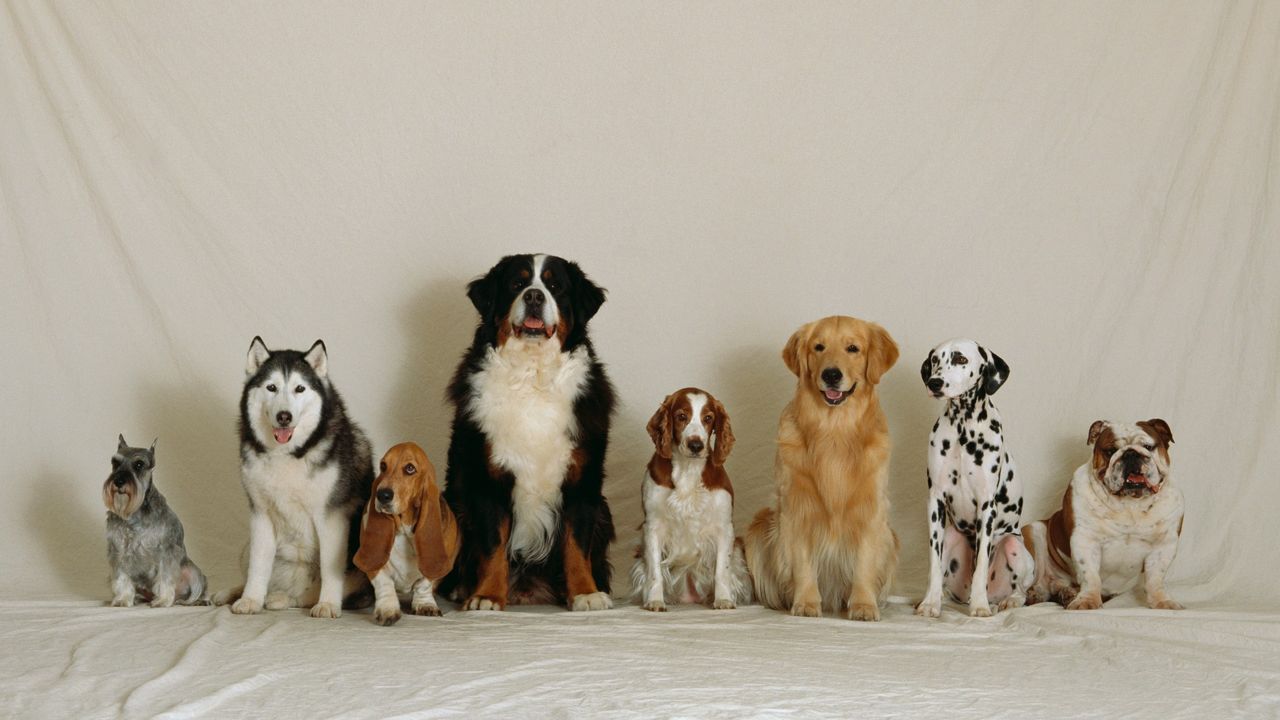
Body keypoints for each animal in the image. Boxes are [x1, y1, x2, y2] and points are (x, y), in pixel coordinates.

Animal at [442, 254, 616, 607]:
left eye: (555, 286)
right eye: (517, 284)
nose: (534, 296)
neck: (532, 376)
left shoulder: (582, 480)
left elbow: (577, 543)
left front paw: (586, 592)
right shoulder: (488, 477)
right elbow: (493, 544)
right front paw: (486, 596)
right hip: (453, 501)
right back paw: (461, 587)